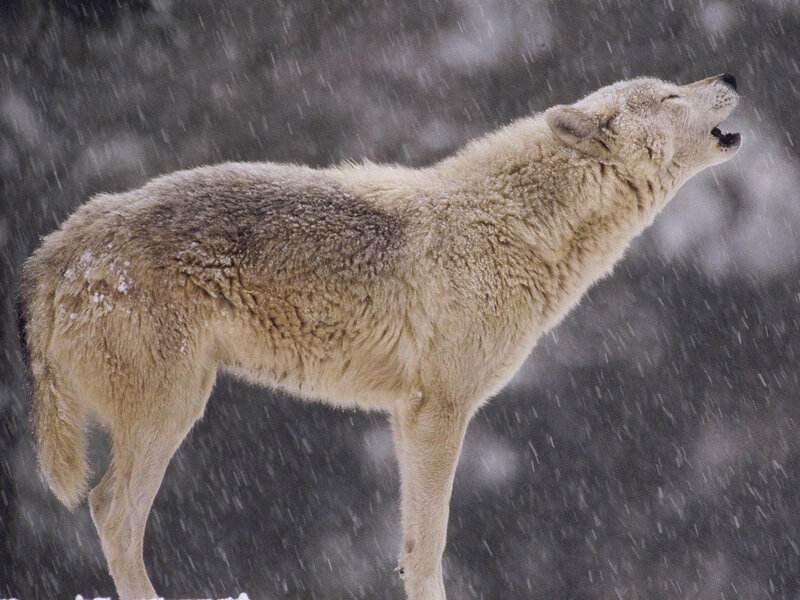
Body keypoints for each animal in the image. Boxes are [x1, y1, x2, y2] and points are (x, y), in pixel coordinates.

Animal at [17, 74, 740, 600]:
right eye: (671, 95)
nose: (730, 75)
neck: (511, 224)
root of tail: (60, 247)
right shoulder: (439, 412)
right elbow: (431, 546)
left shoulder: (405, 416)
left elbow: (411, 546)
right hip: (170, 412)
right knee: (111, 512)